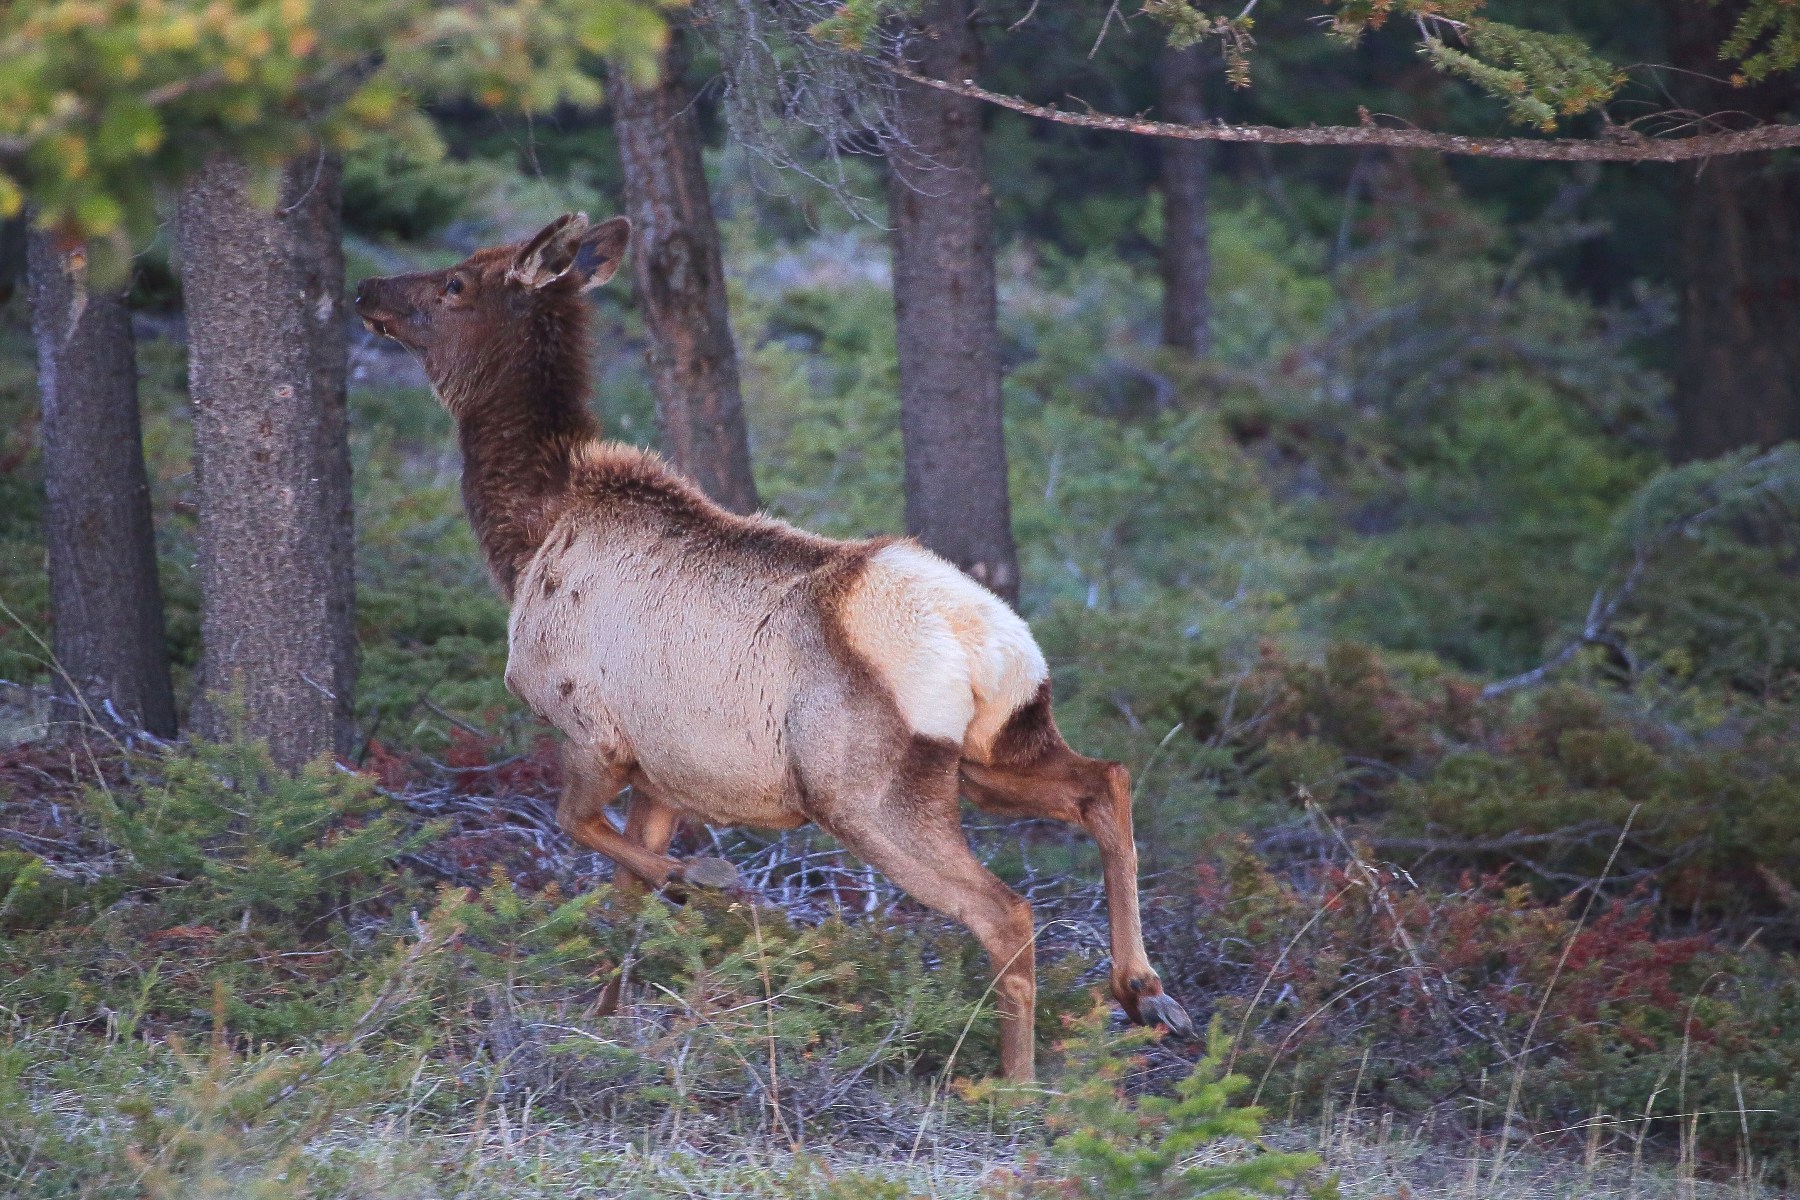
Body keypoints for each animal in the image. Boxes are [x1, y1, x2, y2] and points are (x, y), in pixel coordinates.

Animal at [353, 212, 1193, 1081]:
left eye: (455, 282)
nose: (366, 288)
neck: (527, 535)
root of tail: (990, 648)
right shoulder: (665, 770)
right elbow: (625, 892)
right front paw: (607, 1020)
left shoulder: (589, 726)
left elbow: (576, 827)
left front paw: (706, 882)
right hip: (994, 754)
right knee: (1106, 781)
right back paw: (1145, 991)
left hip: (865, 792)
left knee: (1007, 910)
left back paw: (1018, 1084)